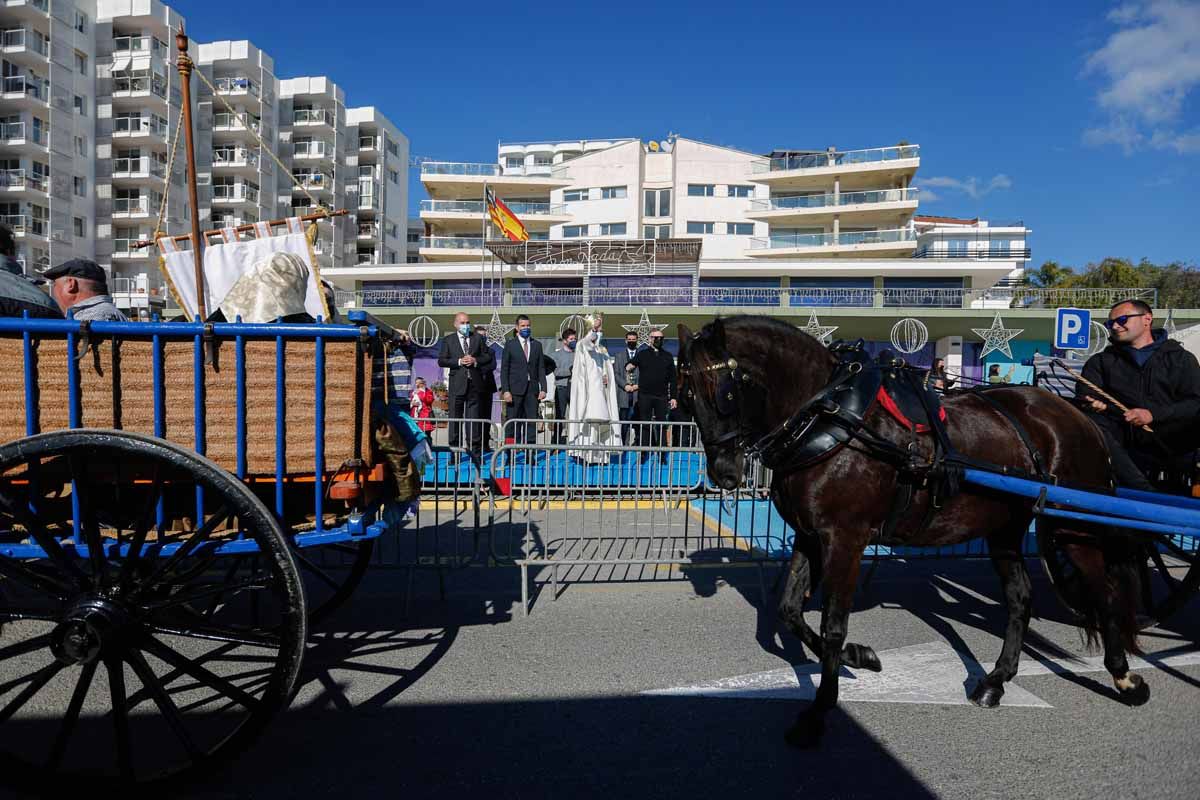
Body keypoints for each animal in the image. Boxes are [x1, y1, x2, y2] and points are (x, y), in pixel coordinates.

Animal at [681, 316, 1147, 748]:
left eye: (723, 391)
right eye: (686, 395)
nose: (723, 473)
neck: (830, 421)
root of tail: (1079, 416)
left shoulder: (845, 539)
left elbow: (833, 625)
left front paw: (820, 710)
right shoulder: (809, 535)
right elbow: (790, 611)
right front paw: (861, 657)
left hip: (1072, 529)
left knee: (1105, 593)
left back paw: (1124, 678)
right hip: (1006, 528)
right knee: (1020, 597)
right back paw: (996, 680)